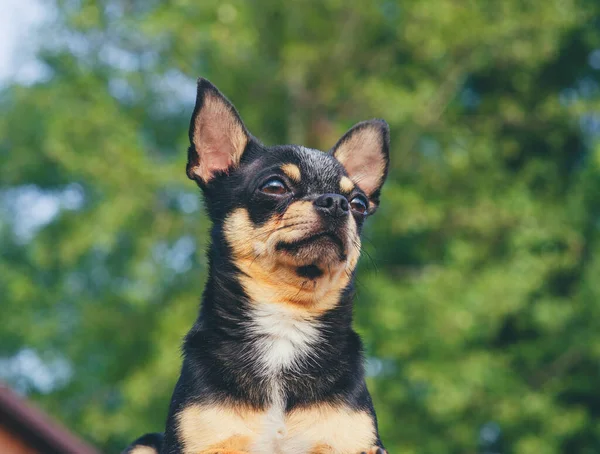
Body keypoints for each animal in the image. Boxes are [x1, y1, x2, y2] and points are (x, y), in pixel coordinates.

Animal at [124, 79, 392, 454]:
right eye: (274, 186)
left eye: (359, 204)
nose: (338, 203)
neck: (285, 317)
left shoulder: (353, 444)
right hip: (145, 444)